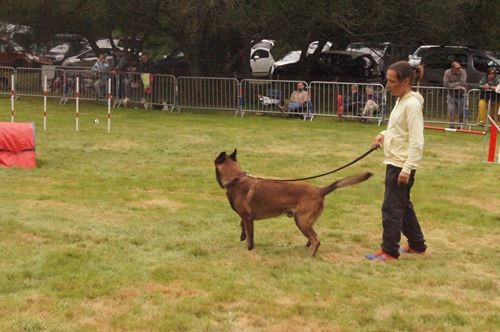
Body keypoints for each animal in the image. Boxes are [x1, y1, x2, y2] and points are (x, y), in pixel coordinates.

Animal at [213, 149, 374, 255]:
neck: (235, 179)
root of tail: (320, 190)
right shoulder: (246, 217)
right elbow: (241, 225)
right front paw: (242, 236)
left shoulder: (248, 218)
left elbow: (250, 236)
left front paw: (249, 249)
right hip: (305, 221)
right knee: (313, 236)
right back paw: (307, 247)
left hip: (301, 221)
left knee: (316, 240)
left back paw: (311, 255)